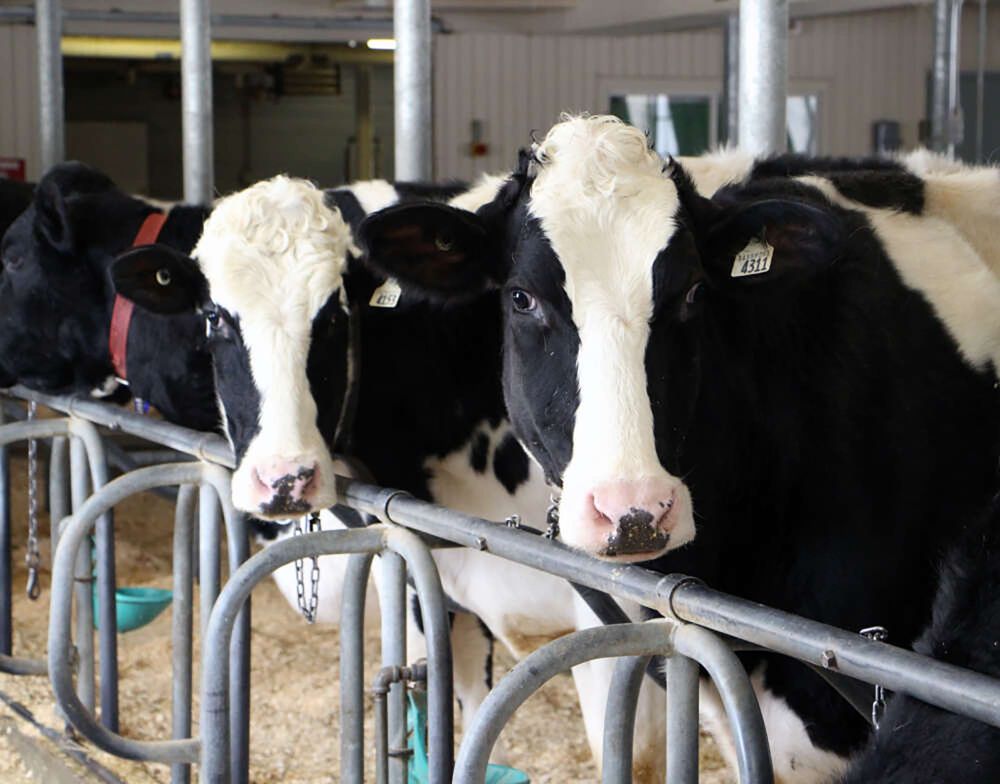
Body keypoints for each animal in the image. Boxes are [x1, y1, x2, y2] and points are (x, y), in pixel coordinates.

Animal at [112, 173, 667, 779]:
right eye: (215, 317)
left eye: (333, 318)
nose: (284, 481)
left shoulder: (613, 613)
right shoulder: (440, 578)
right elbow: (462, 706)